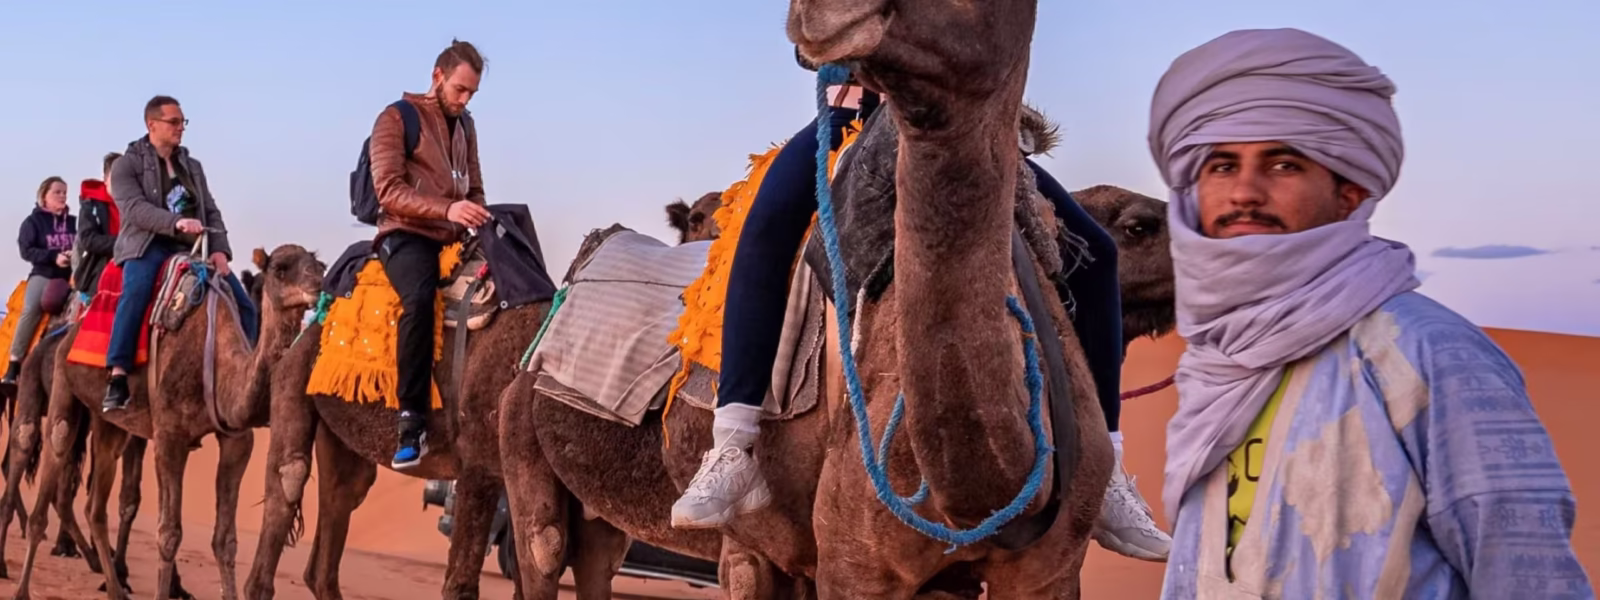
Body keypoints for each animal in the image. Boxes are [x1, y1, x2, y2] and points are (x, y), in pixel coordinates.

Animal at [12, 245, 324, 600]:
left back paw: (115, 588)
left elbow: (225, 540)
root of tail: (70, 329)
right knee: (56, 446)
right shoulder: (169, 437)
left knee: (95, 505)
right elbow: (169, 534)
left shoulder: (236, 441)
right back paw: (23, 588)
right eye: (281, 269)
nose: (318, 282)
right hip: (63, 382)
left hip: (110, 424)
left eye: (319, 264)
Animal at [244, 214, 557, 600]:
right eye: (279, 269)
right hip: (294, 376)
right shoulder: (479, 467)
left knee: (340, 502)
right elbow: (465, 582)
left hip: (341, 433)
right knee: (288, 478)